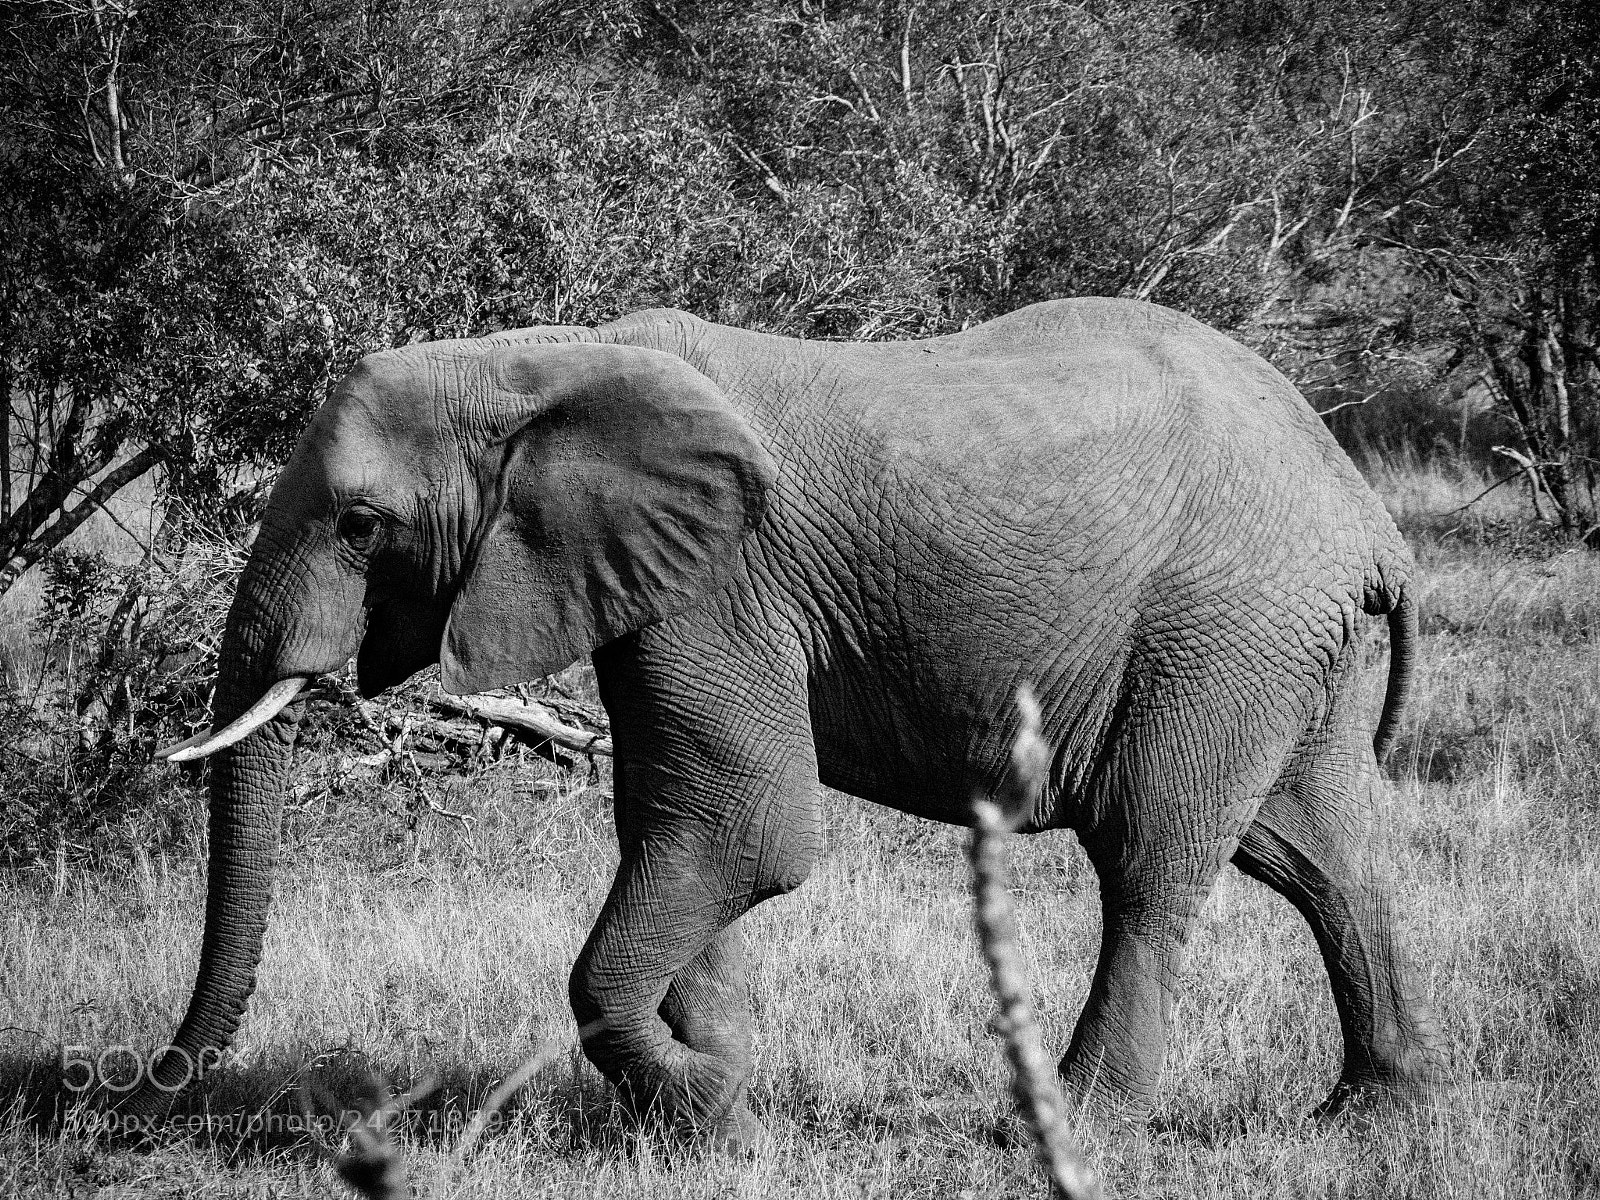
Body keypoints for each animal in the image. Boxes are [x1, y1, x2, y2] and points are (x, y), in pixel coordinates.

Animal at [120, 297, 1447, 1143]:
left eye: (360, 526)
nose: (134, 1097)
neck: (540, 361)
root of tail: (1363, 513)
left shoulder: (723, 581)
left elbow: (744, 834)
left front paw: (711, 1110)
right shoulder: (656, 587)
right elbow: (673, 824)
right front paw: (721, 1095)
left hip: (1223, 626)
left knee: (1152, 857)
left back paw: (1062, 1128)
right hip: (1286, 640)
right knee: (1323, 853)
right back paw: (1372, 1114)